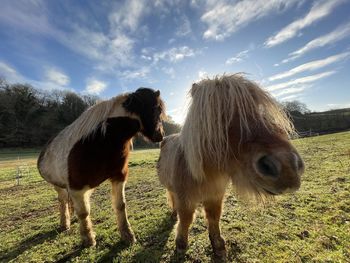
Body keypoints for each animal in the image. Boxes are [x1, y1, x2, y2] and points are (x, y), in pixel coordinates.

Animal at [38, 88, 165, 248]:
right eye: (157, 109)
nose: (161, 135)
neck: (101, 141)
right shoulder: (76, 187)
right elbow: (83, 212)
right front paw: (88, 239)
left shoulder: (119, 176)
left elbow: (120, 205)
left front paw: (128, 235)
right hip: (58, 185)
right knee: (63, 201)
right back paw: (64, 224)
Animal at [157, 75, 304, 260]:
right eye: (215, 115)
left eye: (259, 108)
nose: (287, 166)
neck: (205, 173)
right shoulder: (186, 199)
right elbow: (185, 220)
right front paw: (181, 246)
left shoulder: (215, 196)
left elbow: (214, 219)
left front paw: (218, 247)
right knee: (172, 199)